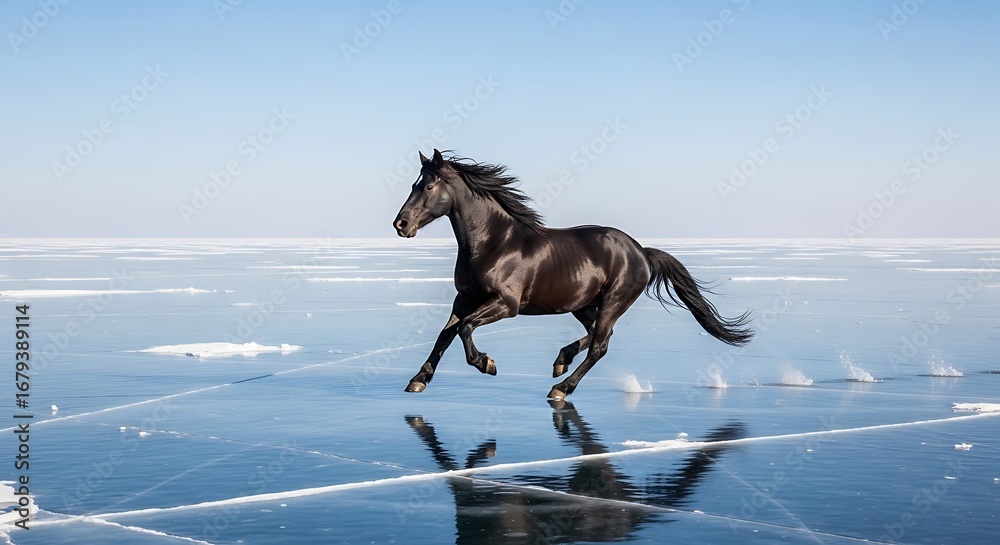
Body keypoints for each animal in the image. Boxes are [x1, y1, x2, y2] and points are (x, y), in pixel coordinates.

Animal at [393, 149, 753, 400]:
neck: (493, 242)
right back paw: (561, 360)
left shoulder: (506, 304)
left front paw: (487, 364)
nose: (400, 224)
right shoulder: (465, 297)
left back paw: (562, 388)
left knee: (600, 345)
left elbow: (465, 328)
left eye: (428, 186)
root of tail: (642, 252)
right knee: (597, 335)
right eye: (413, 184)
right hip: (583, 304)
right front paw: (418, 381)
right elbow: (446, 333)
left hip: (614, 301)